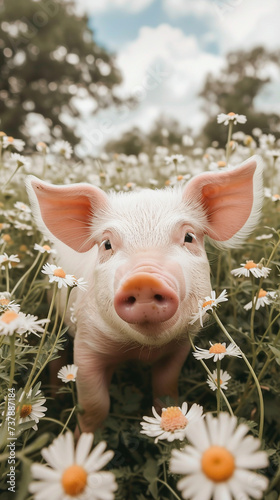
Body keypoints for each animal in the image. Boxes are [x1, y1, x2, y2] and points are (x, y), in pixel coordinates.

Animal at [26, 154, 262, 432]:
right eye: (107, 244)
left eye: (189, 237)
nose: (143, 279)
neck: (140, 349)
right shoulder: (87, 342)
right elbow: (94, 406)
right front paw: (83, 438)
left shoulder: (181, 346)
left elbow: (165, 389)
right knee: (55, 354)